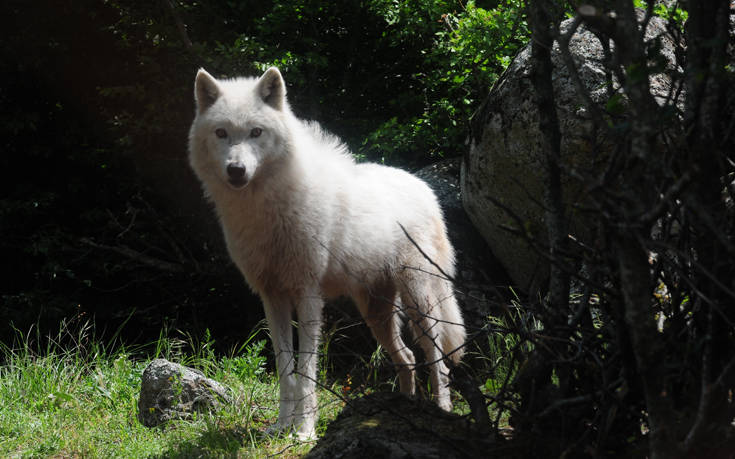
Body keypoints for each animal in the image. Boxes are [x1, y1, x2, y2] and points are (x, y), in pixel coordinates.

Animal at [190, 66, 466, 440]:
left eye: (255, 132)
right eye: (221, 133)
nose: (236, 170)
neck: (264, 209)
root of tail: (425, 189)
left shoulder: (308, 295)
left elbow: (306, 371)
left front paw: (304, 432)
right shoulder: (272, 298)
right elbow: (285, 370)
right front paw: (281, 427)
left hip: (420, 303)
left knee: (437, 360)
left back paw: (442, 411)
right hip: (376, 313)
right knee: (407, 358)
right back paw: (403, 409)